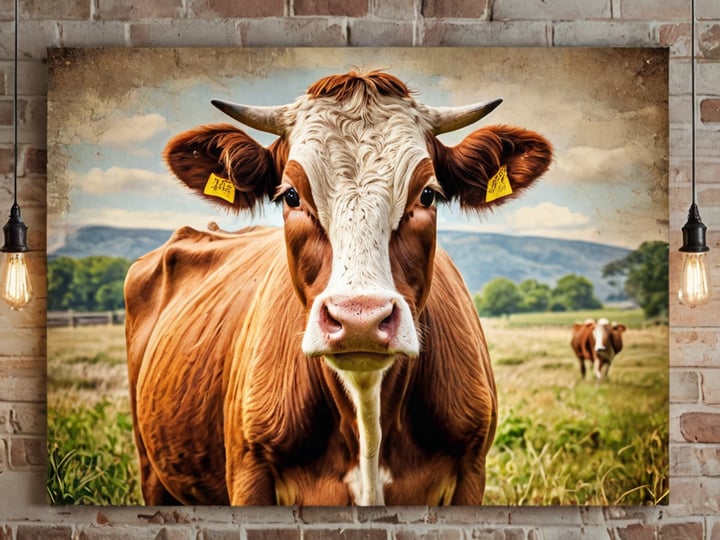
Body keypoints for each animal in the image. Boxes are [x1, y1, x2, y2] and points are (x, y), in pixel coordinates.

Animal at [125, 70, 553, 506]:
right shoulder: (248, 472)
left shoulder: (471, 470)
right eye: (290, 195)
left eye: (428, 194)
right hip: (151, 467)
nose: (360, 320)